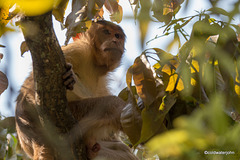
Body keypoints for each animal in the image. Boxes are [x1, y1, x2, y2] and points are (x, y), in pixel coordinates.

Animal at [15, 20, 138, 160]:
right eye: (107, 32)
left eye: (118, 36)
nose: (115, 41)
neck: (95, 64)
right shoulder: (79, 50)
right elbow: (33, 87)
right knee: (109, 105)